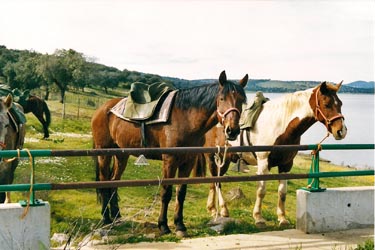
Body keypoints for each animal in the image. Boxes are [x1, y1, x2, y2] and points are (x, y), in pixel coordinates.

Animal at [91, 71, 248, 236]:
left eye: (242, 101)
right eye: (222, 98)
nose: (232, 130)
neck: (186, 119)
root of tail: (102, 109)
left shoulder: (188, 161)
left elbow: (181, 192)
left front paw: (180, 225)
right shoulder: (170, 161)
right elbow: (166, 192)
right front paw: (163, 225)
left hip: (121, 155)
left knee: (114, 182)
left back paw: (116, 216)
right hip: (104, 154)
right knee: (104, 182)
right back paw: (106, 218)